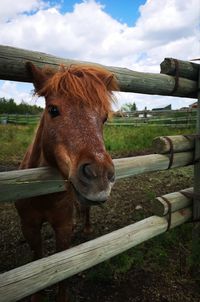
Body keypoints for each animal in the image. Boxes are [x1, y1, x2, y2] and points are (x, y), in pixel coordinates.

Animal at [15, 62, 118, 302]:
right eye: (53, 110)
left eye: (104, 118)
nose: (100, 176)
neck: (42, 195)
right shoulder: (29, 226)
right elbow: (37, 260)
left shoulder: (63, 227)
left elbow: (61, 269)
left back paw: (87, 227)